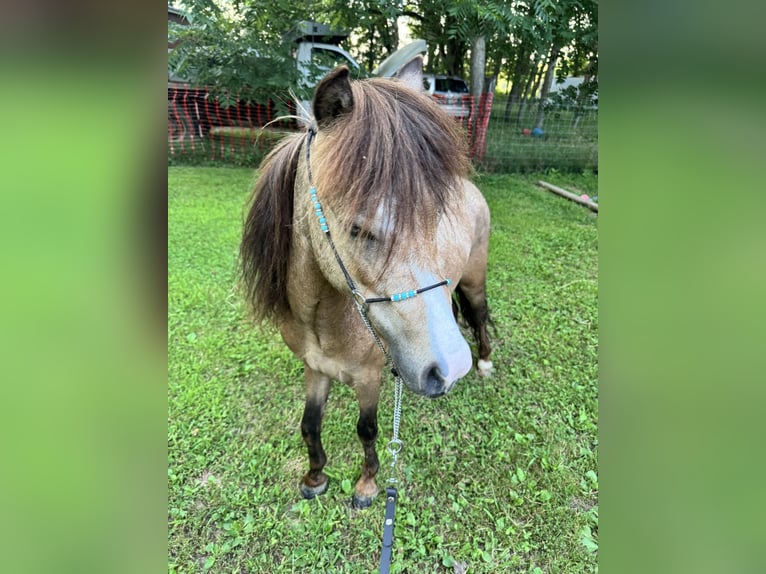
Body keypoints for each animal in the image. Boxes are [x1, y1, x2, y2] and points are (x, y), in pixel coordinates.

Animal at [240, 60, 493, 509]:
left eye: (438, 215)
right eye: (359, 228)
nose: (450, 367)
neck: (323, 322)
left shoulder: (371, 379)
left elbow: (368, 430)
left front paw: (368, 484)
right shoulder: (314, 369)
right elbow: (309, 424)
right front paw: (315, 476)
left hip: (475, 281)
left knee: (479, 314)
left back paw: (483, 363)